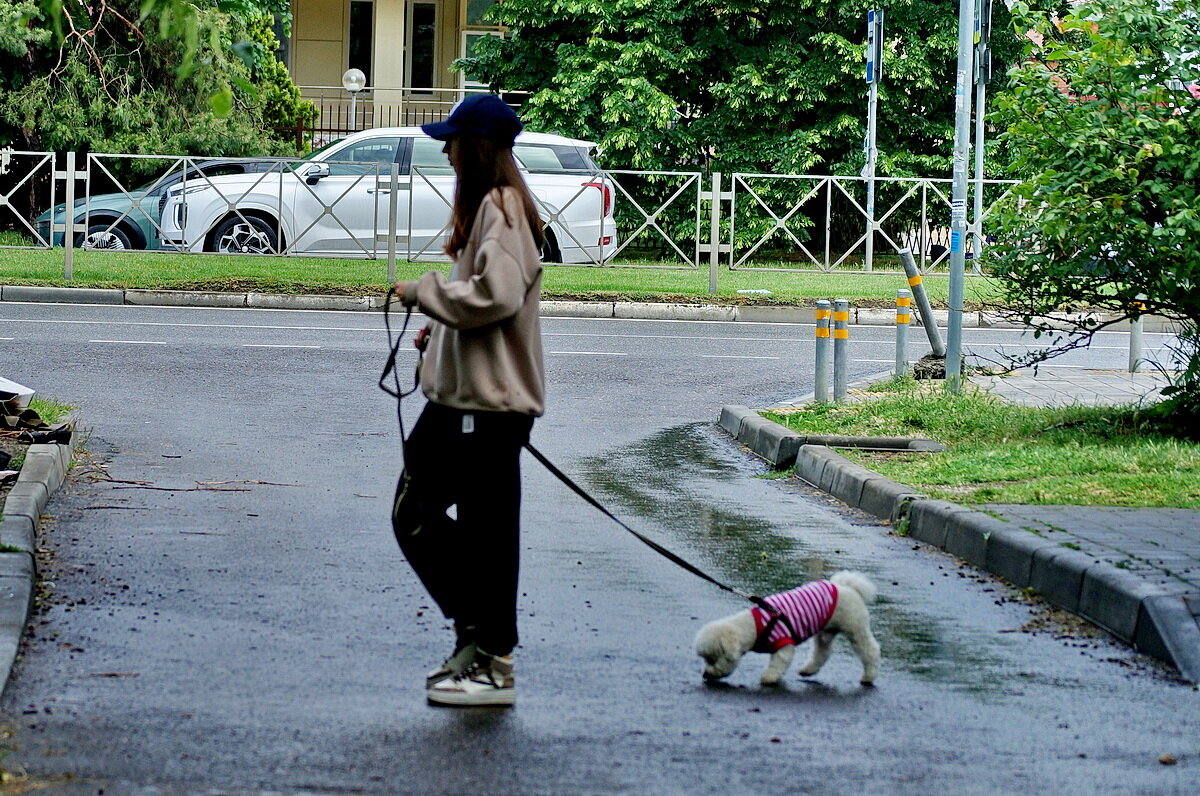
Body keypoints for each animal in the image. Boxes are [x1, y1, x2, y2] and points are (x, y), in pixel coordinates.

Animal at [696, 569, 883, 686]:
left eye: (712, 659)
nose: (705, 675)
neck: (755, 626)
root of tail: (848, 587)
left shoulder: (784, 643)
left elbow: (779, 662)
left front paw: (769, 678)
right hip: (826, 630)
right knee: (822, 652)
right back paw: (808, 670)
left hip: (855, 627)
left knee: (870, 650)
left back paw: (868, 676)